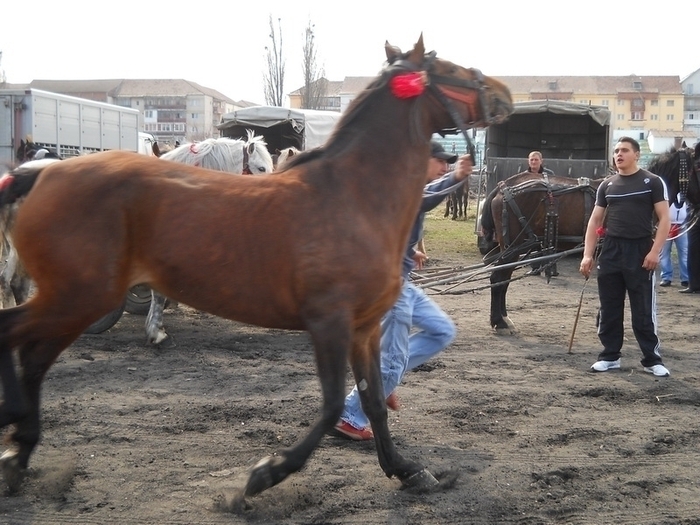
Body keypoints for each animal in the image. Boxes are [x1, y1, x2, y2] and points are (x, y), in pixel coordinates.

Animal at [0, 35, 512, 504]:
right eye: (450, 68)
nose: (503, 93)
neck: (354, 199)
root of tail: (42, 172)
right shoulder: (329, 322)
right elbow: (331, 405)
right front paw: (266, 474)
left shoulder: (365, 328)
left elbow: (373, 400)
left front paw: (408, 470)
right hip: (77, 298)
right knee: (15, 336)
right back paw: (15, 438)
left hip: (72, 301)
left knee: (34, 357)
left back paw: (20, 451)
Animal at [482, 170, 600, 332]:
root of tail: (502, 188)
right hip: (512, 247)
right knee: (498, 279)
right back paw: (498, 321)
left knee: (504, 279)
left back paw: (504, 317)